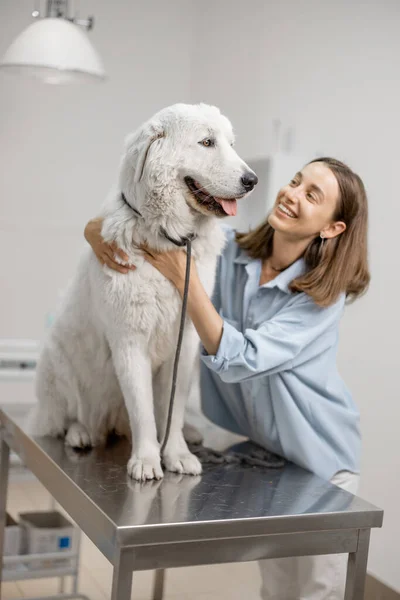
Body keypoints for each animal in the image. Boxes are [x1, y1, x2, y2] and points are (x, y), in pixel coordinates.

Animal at [29, 101, 258, 480]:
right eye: (207, 142)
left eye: (231, 143)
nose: (252, 180)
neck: (167, 238)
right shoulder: (129, 340)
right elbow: (143, 410)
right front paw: (148, 459)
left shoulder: (187, 340)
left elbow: (172, 410)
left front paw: (176, 453)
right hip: (59, 362)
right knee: (69, 415)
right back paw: (80, 433)